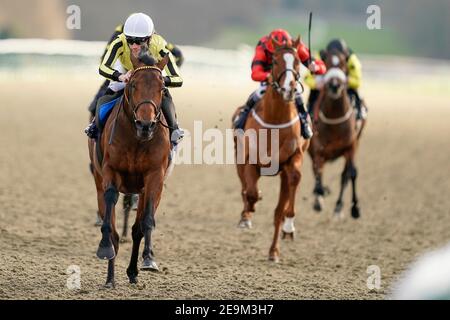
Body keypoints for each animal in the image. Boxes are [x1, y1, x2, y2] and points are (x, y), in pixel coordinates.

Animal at [88, 53, 171, 286]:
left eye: (163, 87)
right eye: (133, 84)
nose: (146, 124)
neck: (137, 139)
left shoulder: (154, 177)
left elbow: (146, 222)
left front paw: (149, 259)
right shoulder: (111, 171)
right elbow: (110, 214)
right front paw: (104, 248)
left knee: (136, 230)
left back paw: (133, 272)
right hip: (98, 178)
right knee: (112, 223)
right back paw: (110, 278)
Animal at [232, 37, 310, 262]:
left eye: (298, 62)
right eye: (274, 61)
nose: (288, 89)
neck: (275, 121)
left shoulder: (292, 160)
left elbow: (287, 194)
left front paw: (286, 230)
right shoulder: (250, 160)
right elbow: (250, 193)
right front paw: (248, 212)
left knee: (282, 204)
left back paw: (278, 243)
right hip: (238, 157)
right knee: (244, 187)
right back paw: (246, 215)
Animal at [310, 48, 366, 219]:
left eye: (343, 64)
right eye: (327, 63)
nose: (334, 85)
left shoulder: (351, 146)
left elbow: (351, 173)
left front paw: (355, 208)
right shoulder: (318, 150)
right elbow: (318, 173)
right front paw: (320, 195)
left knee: (344, 175)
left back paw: (338, 207)